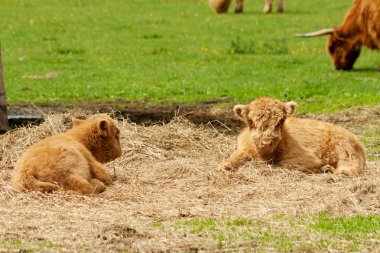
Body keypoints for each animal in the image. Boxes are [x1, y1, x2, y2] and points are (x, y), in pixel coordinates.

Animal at [221, 97, 366, 176]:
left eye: (280, 121)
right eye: (251, 121)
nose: (267, 142)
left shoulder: (307, 159)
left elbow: (283, 165)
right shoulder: (243, 149)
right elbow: (233, 158)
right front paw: (225, 165)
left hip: (344, 149)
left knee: (350, 165)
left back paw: (336, 171)